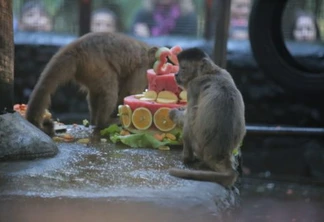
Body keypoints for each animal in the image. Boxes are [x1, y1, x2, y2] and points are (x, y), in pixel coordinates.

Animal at [25, 32, 157, 138]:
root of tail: (75, 47)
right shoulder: (143, 66)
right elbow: (131, 92)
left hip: (88, 71)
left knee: (96, 92)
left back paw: (94, 121)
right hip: (95, 64)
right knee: (110, 90)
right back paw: (103, 122)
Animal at [168, 47, 244, 186]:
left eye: (183, 68)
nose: (176, 74)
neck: (211, 72)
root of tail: (220, 154)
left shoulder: (193, 86)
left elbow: (188, 115)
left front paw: (174, 113)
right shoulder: (226, 73)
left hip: (198, 146)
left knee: (190, 121)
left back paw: (187, 158)